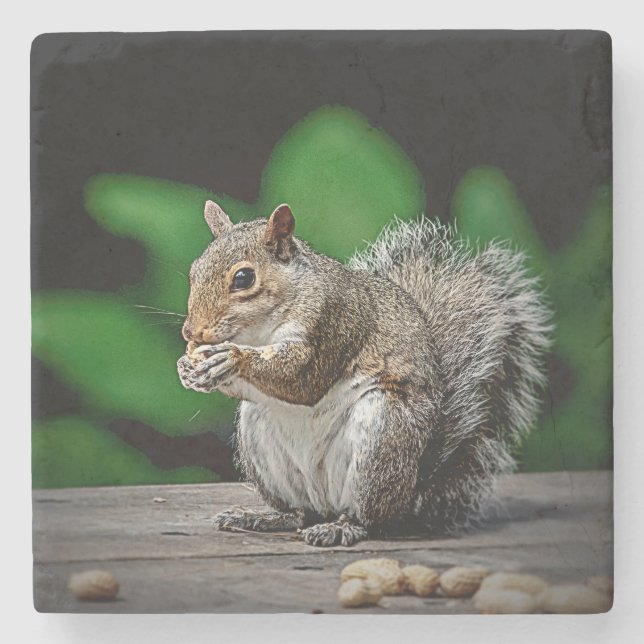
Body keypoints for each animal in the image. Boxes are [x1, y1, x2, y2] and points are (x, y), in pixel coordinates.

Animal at [177, 200, 552, 547]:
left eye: (244, 278)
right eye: (194, 270)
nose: (191, 332)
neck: (258, 331)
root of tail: (411, 492)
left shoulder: (334, 322)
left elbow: (302, 380)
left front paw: (231, 358)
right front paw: (188, 369)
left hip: (382, 438)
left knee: (367, 518)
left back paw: (341, 527)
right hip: (261, 438)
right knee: (298, 512)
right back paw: (265, 518)